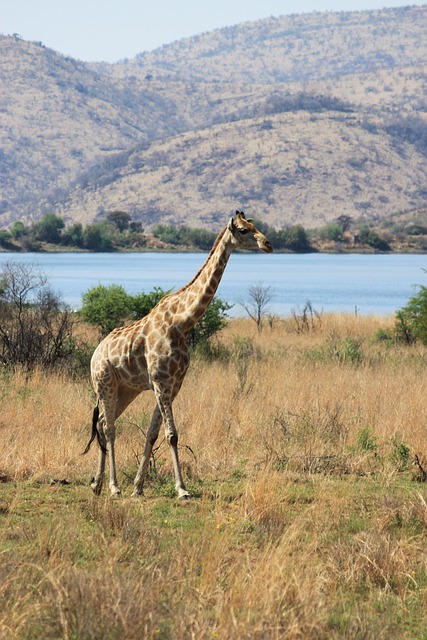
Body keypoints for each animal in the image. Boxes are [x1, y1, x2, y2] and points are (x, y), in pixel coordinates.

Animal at [83, 211, 273, 498]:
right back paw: (113, 487)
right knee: (109, 427)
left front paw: (138, 488)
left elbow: (152, 433)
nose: (267, 244)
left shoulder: (174, 383)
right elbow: (171, 434)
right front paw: (182, 489)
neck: (182, 322)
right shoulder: (161, 380)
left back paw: (97, 484)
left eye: (255, 225)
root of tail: (95, 353)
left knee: (105, 422)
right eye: (243, 230)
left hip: (126, 389)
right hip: (104, 382)